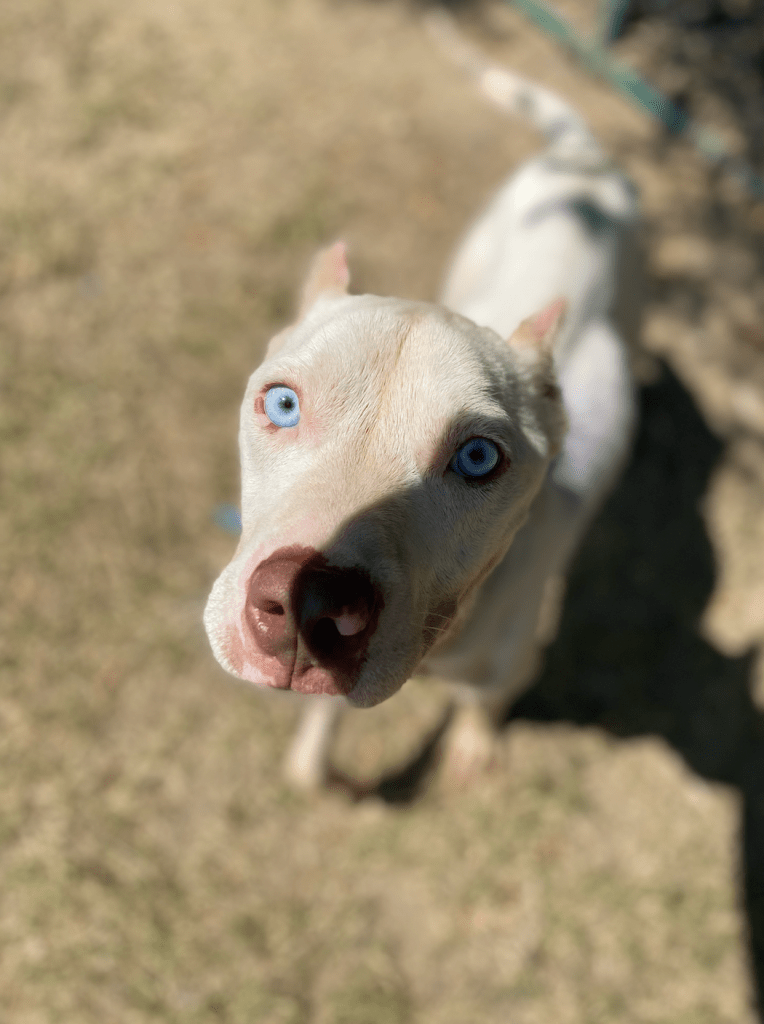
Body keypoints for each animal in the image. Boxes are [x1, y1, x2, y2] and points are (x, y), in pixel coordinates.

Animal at [204, 15, 640, 789]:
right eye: (281, 405)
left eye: (478, 458)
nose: (308, 605)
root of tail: (583, 159)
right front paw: (312, 761)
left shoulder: (509, 668)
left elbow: (484, 706)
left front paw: (470, 745)